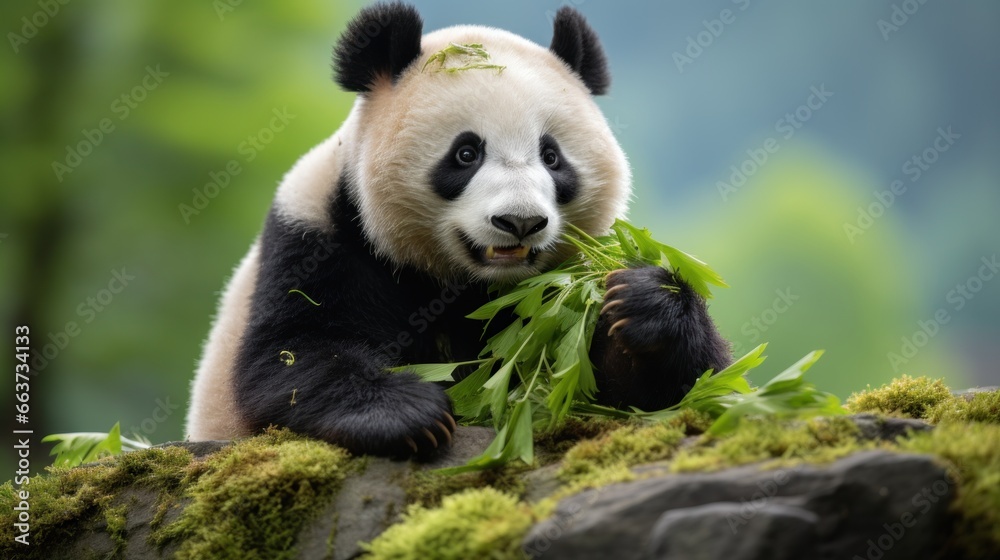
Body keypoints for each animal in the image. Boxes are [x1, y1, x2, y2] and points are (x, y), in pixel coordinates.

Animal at [184, 2, 732, 458]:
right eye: (466, 153)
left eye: (551, 157)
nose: (520, 222)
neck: (462, 284)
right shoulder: (317, 234)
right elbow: (289, 356)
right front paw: (407, 415)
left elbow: (673, 390)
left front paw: (640, 301)